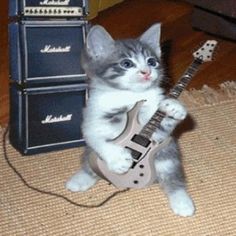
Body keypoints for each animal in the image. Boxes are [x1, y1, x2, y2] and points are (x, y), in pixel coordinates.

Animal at [65, 24, 195, 218]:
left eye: (151, 61)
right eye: (126, 64)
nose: (146, 72)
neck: (130, 96)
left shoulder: (157, 131)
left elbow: (163, 126)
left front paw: (173, 107)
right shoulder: (92, 117)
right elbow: (95, 137)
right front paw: (118, 159)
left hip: (168, 154)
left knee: (172, 175)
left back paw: (181, 201)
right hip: (90, 154)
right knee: (89, 163)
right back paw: (80, 179)